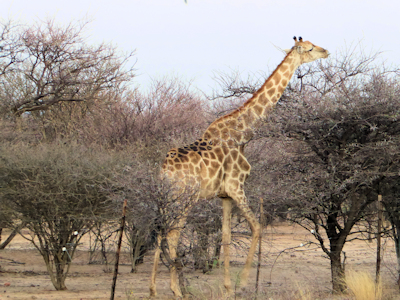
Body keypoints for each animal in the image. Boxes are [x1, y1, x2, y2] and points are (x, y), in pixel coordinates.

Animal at [150, 36, 328, 296]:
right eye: (310, 48)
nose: (326, 51)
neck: (244, 134)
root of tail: (165, 169)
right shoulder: (237, 186)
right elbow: (257, 227)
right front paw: (242, 283)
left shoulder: (225, 195)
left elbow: (225, 235)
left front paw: (227, 286)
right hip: (185, 197)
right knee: (173, 232)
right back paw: (176, 290)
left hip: (166, 198)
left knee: (161, 230)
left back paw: (153, 289)